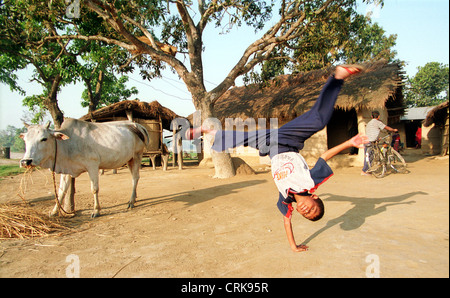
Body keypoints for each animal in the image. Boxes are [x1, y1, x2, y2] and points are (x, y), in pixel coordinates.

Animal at [20, 117, 149, 218]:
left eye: (44, 138)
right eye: (25, 140)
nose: (26, 161)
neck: (68, 144)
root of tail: (136, 125)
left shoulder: (92, 165)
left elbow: (94, 189)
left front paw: (96, 211)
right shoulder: (66, 170)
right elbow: (61, 191)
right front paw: (54, 211)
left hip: (137, 155)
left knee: (135, 178)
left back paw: (131, 201)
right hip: (129, 159)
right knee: (134, 177)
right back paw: (134, 198)